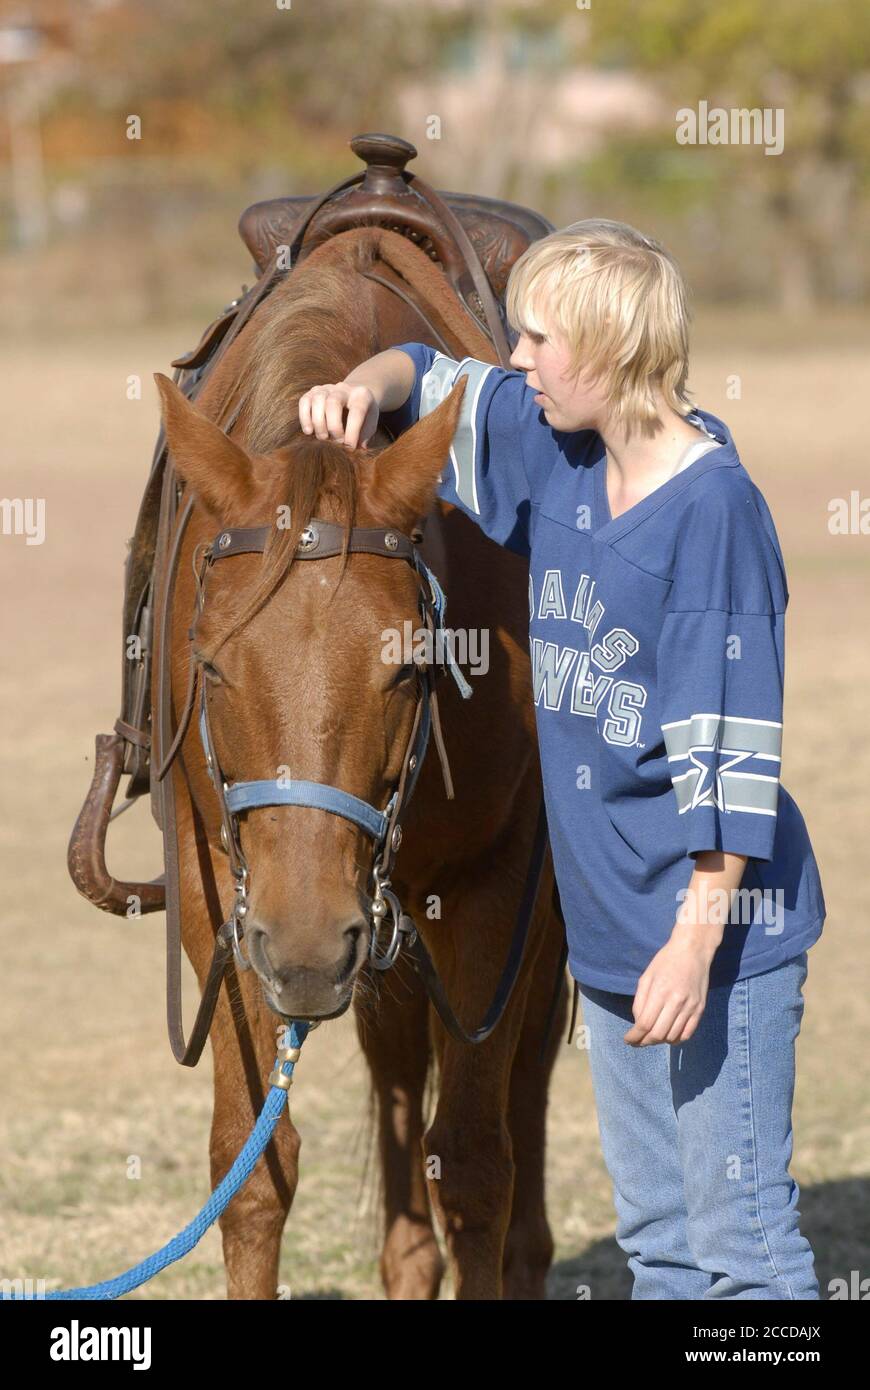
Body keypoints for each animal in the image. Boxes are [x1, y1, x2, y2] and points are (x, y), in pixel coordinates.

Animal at [152, 222, 567, 1295]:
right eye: (210, 665)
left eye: (412, 664)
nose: (304, 948)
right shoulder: (222, 891)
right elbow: (252, 1168)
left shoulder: (490, 888)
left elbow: (475, 1166)